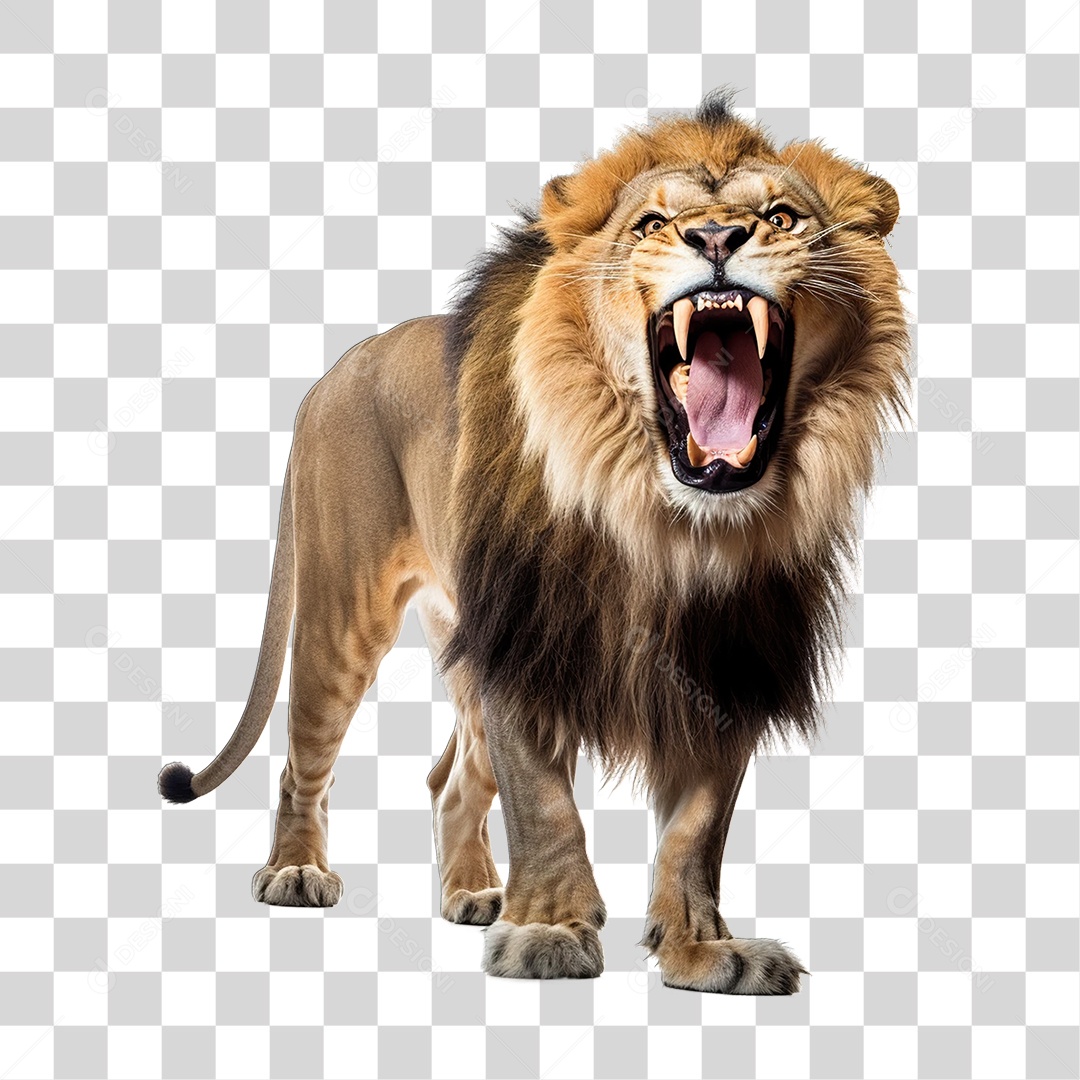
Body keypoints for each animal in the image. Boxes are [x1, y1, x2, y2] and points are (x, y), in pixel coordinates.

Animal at [158, 88, 910, 994]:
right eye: (653, 223)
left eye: (781, 216)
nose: (716, 239)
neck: (666, 523)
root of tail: (335, 368)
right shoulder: (522, 636)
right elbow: (546, 805)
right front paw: (548, 932)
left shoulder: (727, 662)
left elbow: (696, 832)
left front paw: (704, 952)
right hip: (345, 614)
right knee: (302, 757)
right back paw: (298, 872)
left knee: (448, 780)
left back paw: (476, 895)